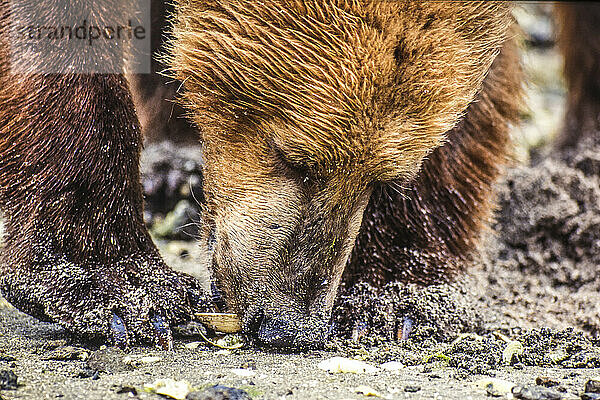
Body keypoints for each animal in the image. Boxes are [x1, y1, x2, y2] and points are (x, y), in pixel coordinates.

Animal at [0, 0, 596, 350]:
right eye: (294, 156)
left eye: (385, 178)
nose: (291, 322)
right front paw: (114, 283)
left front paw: (395, 298)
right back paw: (170, 161)